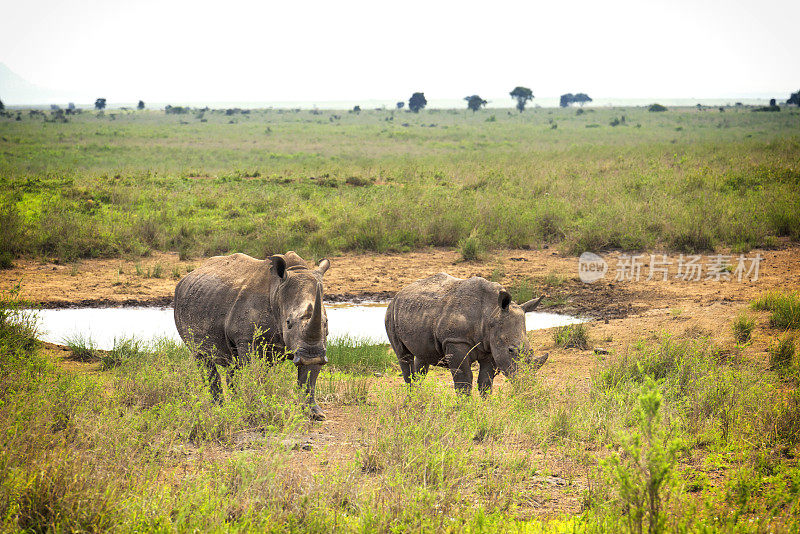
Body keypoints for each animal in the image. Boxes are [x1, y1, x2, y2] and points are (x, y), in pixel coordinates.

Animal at [173, 249, 330, 420]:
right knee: (202, 357)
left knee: (232, 364)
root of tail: (187, 277)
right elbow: (256, 373)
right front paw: (259, 409)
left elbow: (309, 378)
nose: (311, 355)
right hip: (182, 302)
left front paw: (315, 414)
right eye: (288, 323)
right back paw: (219, 409)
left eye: (326, 322)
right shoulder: (248, 339)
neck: (277, 291)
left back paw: (234, 404)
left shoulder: (315, 344)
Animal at [388, 274, 552, 396]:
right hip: (391, 312)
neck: (491, 312)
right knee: (404, 357)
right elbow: (464, 382)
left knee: (422, 357)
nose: (527, 383)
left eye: (531, 350)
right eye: (511, 350)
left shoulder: (490, 346)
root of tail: (399, 293)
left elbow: (486, 382)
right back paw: (412, 401)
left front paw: (486, 409)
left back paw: (419, 397)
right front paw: (464, 411)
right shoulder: (455, 341)